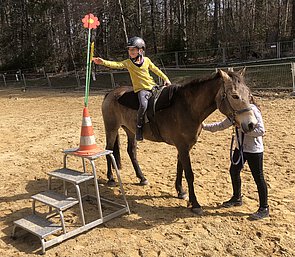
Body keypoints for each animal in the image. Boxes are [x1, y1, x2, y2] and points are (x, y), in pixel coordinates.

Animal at [100, 69, 258, 213]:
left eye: (249, 94)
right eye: (235, 96)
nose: (251, 124)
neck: (187, 108)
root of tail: (111, 93)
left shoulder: (184, 147)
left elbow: (180, 168)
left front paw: (180, 191)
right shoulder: (182, 146)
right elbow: (189, 174)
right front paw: (195, 203)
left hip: (130, 131)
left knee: (131, 152)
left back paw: (141, 177)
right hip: (111, 128)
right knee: (109, 150)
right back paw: (111, 178)